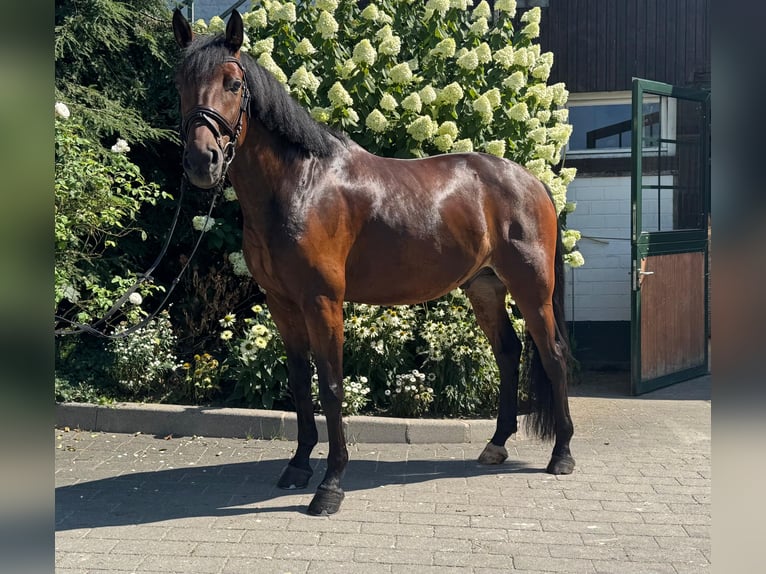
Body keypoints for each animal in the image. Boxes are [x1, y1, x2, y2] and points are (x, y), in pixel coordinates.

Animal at [172, 9, 575, 516]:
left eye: (232, 83)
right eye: (181, 83)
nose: (201, 160)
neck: (301, 184)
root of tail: (532, 181)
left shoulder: (323, 301)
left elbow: (331, 386)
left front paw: (330, 486)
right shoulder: (283, 305)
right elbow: (300, 385)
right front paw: (298, 466)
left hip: (532, 288)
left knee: (553, 354)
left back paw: (562, 454)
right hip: (484, 287)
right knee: (508, 352)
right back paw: (496, 444)